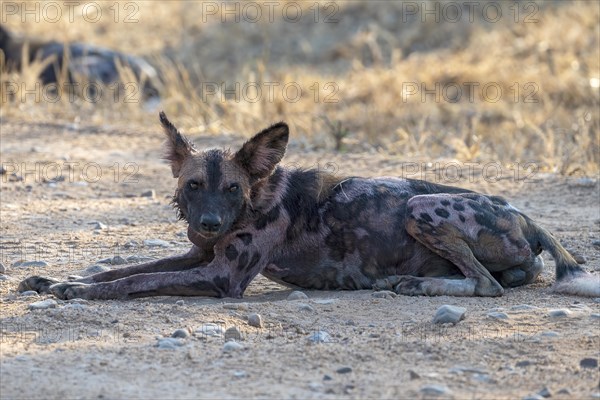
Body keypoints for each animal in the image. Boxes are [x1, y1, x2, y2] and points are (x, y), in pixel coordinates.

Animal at [18, 111, 600, 298]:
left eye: (232, 188)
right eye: (193, 185)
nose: (208, 222)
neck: (255, 199)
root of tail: (527, 216)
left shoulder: (219, 278)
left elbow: (133, 281)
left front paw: (76, 291)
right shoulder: (198, 257)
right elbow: (122, 269)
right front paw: (55, 280)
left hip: (422, 206)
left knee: (487, 286)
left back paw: (414, 285)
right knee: (495, 281)